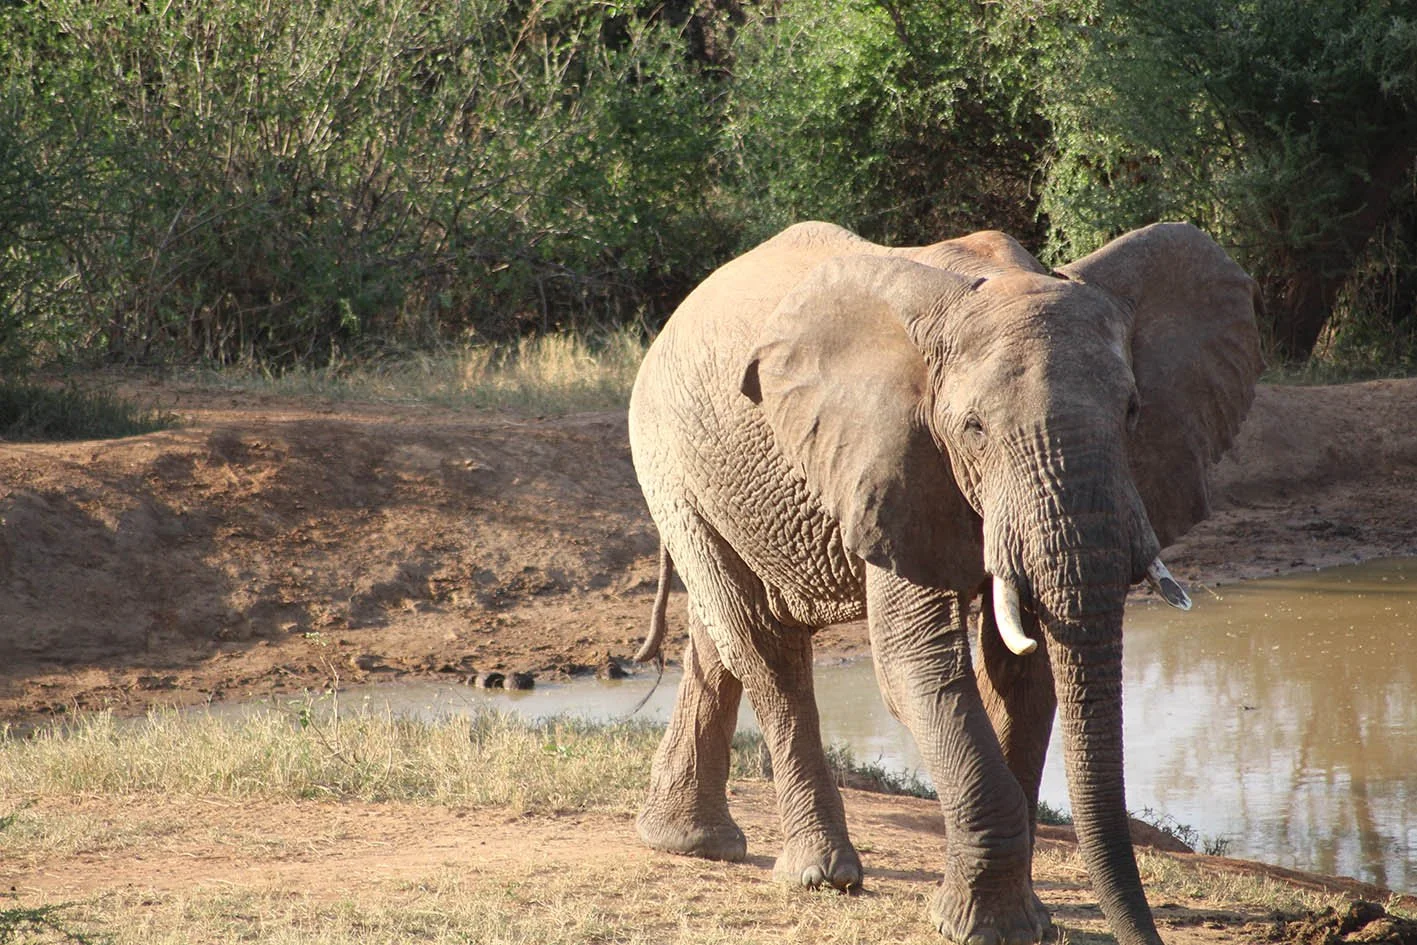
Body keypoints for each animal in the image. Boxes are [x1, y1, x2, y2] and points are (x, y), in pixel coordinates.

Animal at [626, 221, 1261, 945]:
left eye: (1132, 411)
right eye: (973, 428)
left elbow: (1021, 673)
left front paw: (1019, 916)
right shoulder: (894, 459)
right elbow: (919, 666)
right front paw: (984, 927)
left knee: (720, 639)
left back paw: (689, 843)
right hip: (671, 464)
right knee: (763, 643)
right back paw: (822, 876)